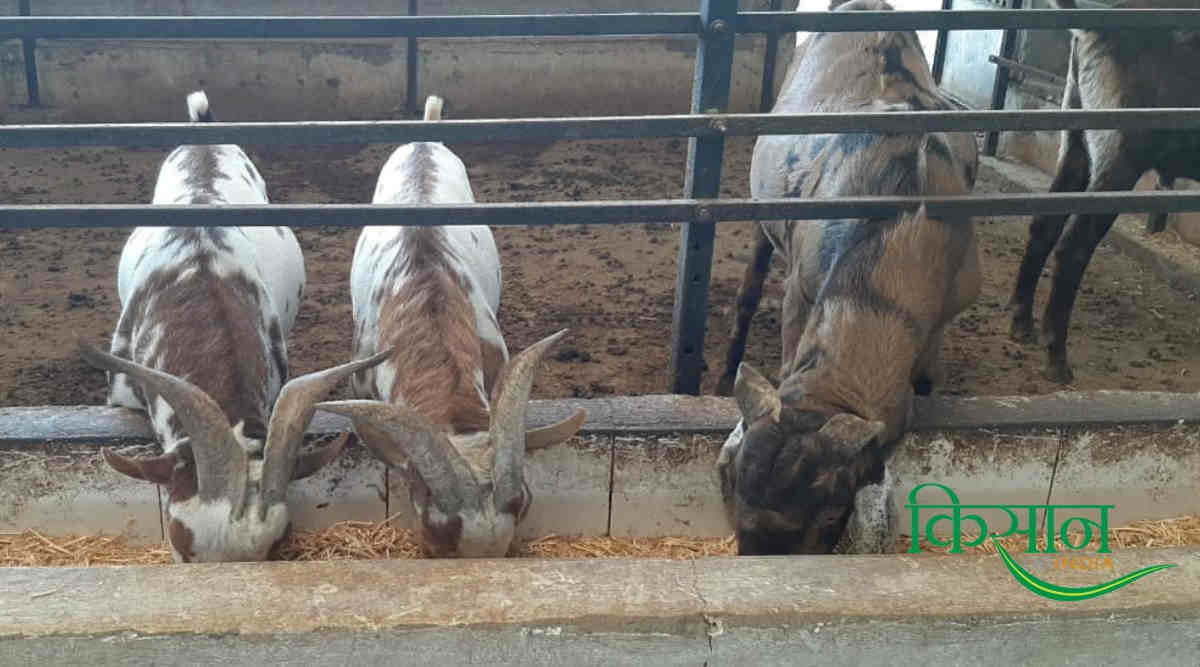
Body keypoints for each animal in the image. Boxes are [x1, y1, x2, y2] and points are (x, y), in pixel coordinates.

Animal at [1008, 0, 1200, 383]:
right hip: (1119, 156)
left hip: (1076, 141)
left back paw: (1022, 323)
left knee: (1044, 224)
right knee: (1073, 247)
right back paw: (1057, 358)